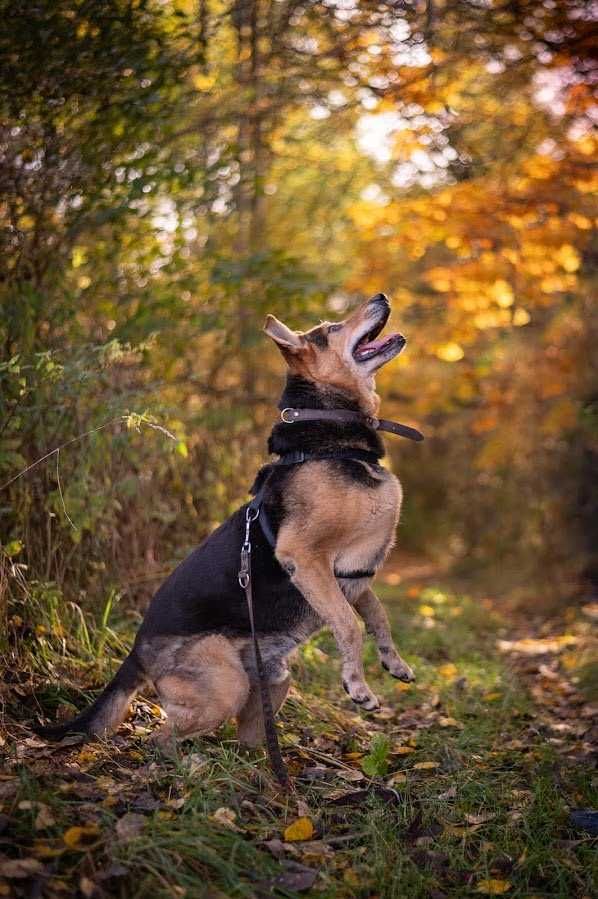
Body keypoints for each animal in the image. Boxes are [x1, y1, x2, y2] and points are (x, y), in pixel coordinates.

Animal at [39, 294, 418, 744]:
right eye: (332, 328)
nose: (382, 297)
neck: (331, 442)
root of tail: (135, 654)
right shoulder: (306, 557)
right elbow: (349, 625)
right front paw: (357, 686)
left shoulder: (355, 577)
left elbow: (378, 616)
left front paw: (394, 663)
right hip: (225, 685)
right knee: (162, 737)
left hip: (274, 682)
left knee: (247, 740)